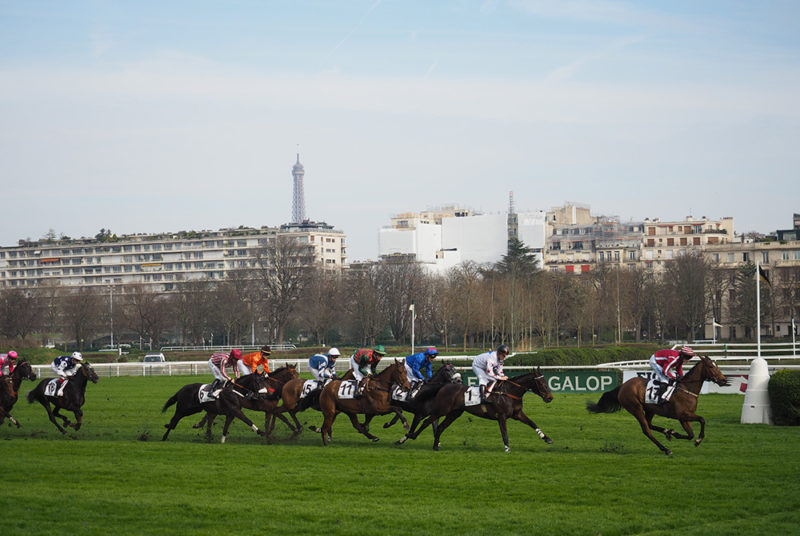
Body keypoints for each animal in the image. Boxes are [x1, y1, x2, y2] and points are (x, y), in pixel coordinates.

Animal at [412, 370, 552, 454]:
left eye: (546, 381)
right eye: (540, 383)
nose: (550, 398)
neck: (509, 392)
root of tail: (444, 386)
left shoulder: (517, 414)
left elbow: (532, 423)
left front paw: (547, 438)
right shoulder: (501, 416)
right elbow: (504, 433)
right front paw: (507, 448)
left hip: (454, 413)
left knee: (440, 427)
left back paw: (435, 446)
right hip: (442, 410)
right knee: (426, 421)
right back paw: (410, 436)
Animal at [584, 354, 728, 454]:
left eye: (717, 366)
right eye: (711, 367)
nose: (724, 380)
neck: (686, 389)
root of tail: (623, 386)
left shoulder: (683, 418)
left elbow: (690, 434)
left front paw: (675, 434)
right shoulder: (683, 414)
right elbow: (702, 420)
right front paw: (698, 440)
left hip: (650, 409)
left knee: (649, 424)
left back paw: (667, 432)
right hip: (635, 408)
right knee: (646, 430)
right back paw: (666, 449)